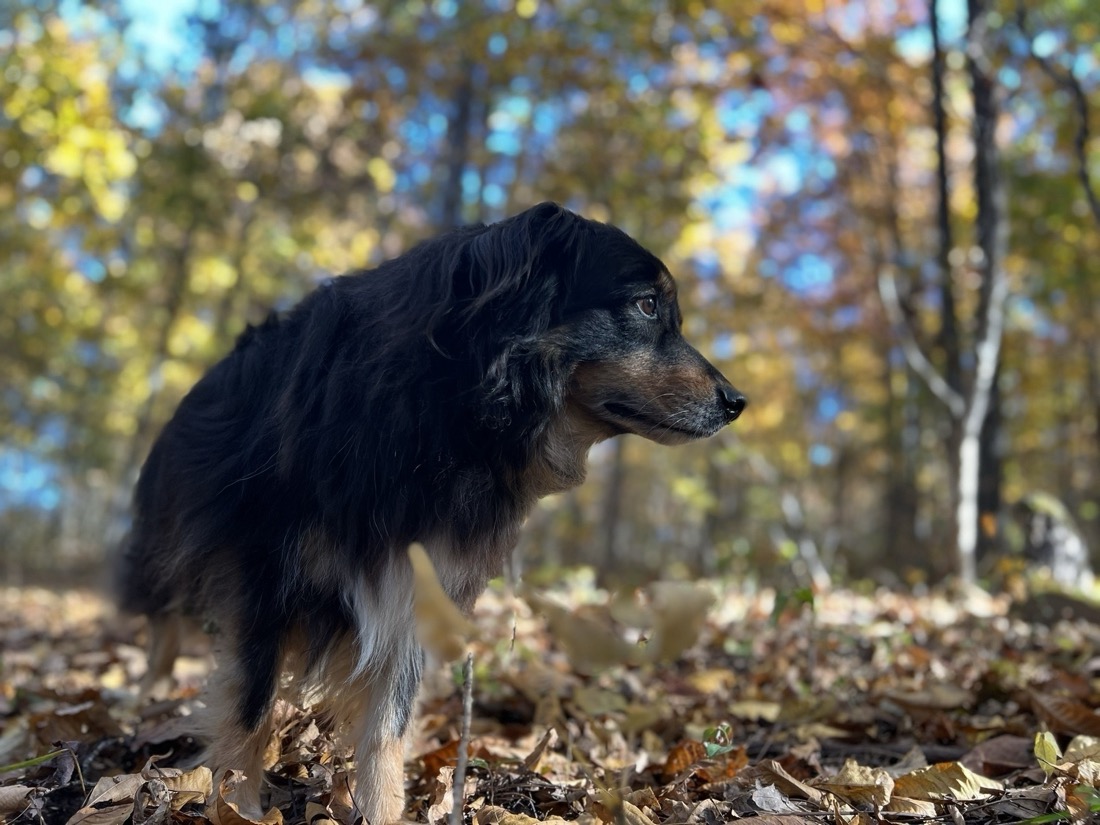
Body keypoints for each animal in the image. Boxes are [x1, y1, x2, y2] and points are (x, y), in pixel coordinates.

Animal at [120, 203, 748, 822]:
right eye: (646, 306)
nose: (737, 403)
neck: (447, 412)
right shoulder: (264, 570)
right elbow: (251, 706)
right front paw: (238, 805)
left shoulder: (421, 579)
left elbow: (387, 727)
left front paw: (380, 809)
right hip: (164, 550)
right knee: (161, 634)